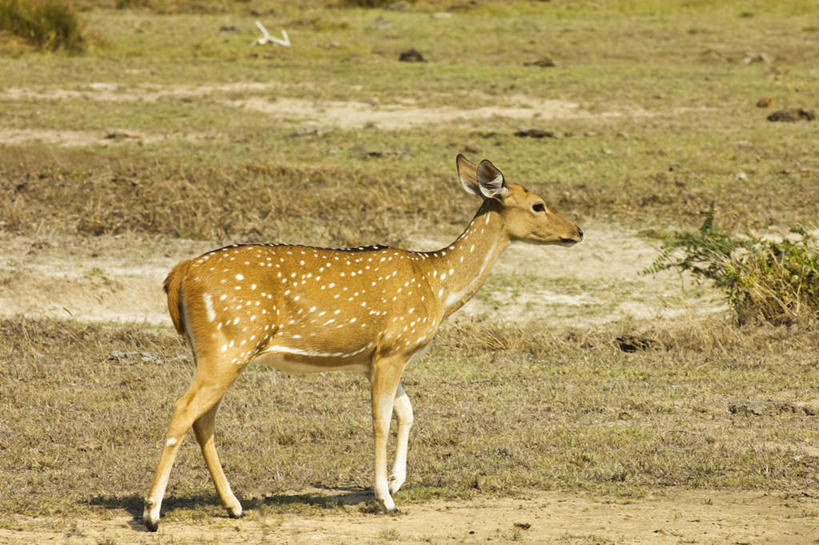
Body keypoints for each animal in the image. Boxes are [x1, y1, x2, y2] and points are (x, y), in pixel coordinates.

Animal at [146, 153, 584, 528]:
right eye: (539, 205)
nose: (578, 231)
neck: (438, 287)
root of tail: (180, 273)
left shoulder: (381, 355)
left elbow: (407, 412)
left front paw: (395, 481)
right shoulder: (393, 349)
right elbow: (380, 420)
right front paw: (385, 499)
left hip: (217, 351)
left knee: (203, 419)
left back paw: (233, 505)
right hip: (227, 345)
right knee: (184, 409)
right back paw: (152, 512)